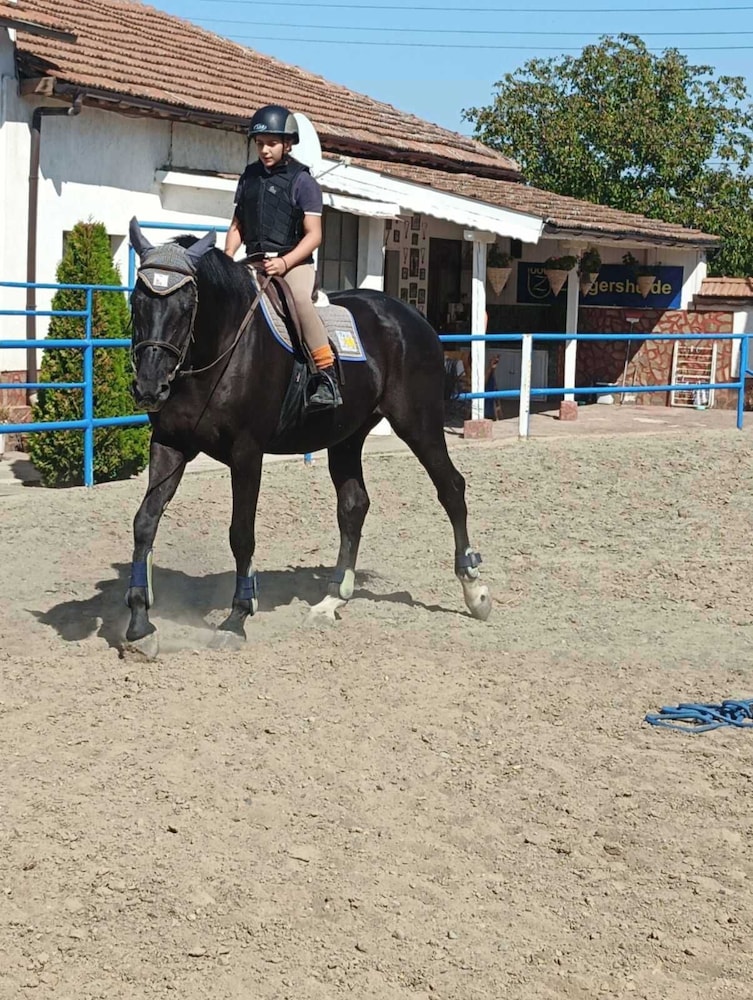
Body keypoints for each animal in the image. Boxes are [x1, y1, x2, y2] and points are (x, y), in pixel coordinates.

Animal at [125, 217, 491, 658]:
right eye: (138, 302)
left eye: (185, 307)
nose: (149, 387)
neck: (217, 352)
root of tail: (412, 318)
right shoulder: (170, 444)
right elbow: (145, 521)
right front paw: (140, 625)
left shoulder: (246, 453)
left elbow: (241, 534)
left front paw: (237, 618)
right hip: (347, 437)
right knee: (354, 505)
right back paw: (333, 599)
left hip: (418, 424)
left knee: (451, 488)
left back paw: (475, 591)